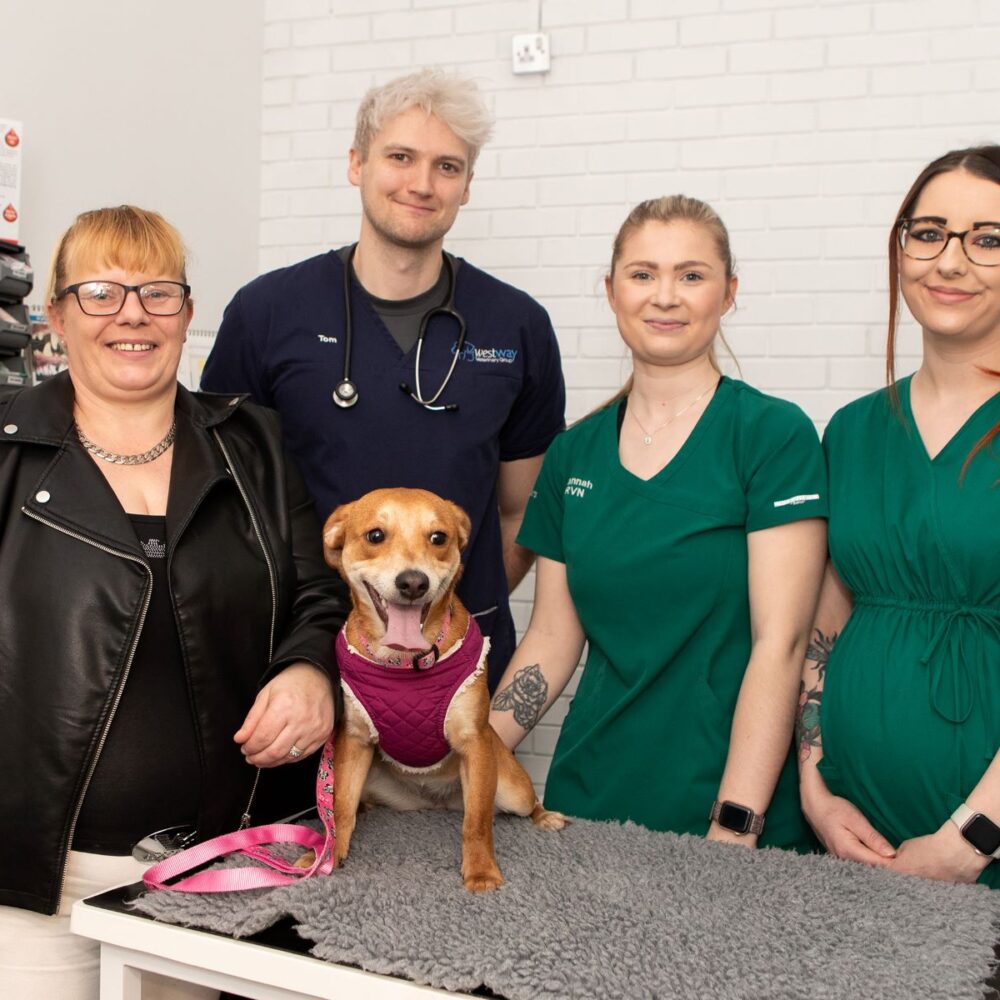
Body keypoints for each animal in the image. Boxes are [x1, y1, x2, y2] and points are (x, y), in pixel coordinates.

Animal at [324, 484, 568, 892]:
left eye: (438, 538)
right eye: (375, 535)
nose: (413, 582)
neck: (404, 664)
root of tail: (437, 800)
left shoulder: (475, 743)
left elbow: (477, 823)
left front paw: (481, 872)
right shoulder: (354, 741)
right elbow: (339, 808)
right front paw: (322, 859)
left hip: (510, 785)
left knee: (522, 803)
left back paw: (545, 816)